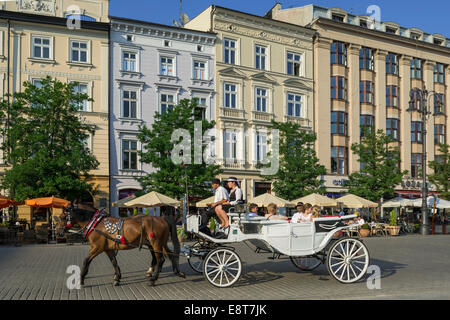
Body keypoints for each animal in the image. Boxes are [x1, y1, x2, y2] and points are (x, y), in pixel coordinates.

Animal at [55, 204, 185, 286]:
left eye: (62, 217)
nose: (57, 231)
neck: (96, 223)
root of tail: (162, 219)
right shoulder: (108, 249)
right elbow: (114, 262)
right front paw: (117, 278)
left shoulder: (97, 248)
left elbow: (86, 261)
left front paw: (81, 278)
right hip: (160, 243)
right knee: (170, 255)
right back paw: (178, 272)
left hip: (156, 243)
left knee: (161, 259)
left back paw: (153, 279)